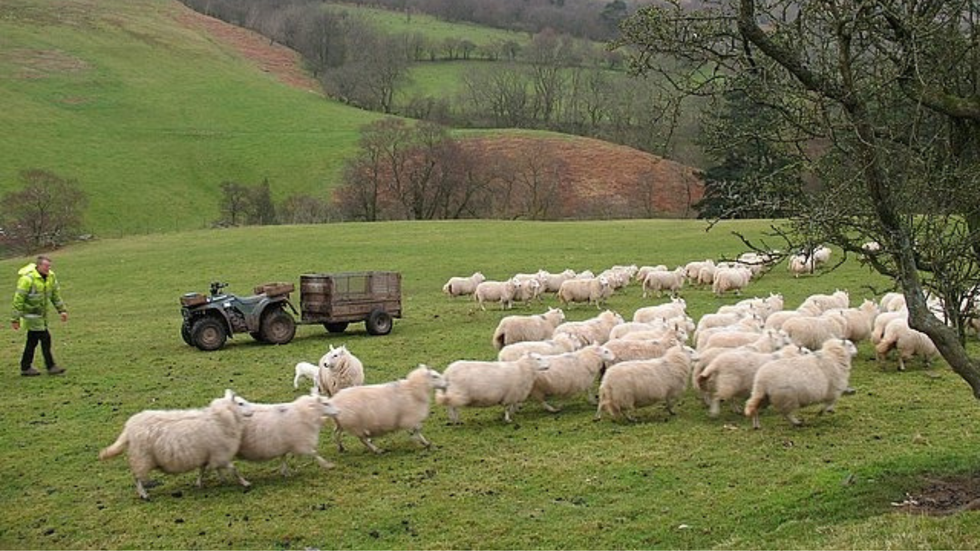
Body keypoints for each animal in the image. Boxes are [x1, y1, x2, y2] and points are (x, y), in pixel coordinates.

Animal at [97, 390, 253, 502]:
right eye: (240, 403)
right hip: (141, 457)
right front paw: (245, 483)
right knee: (137, 478)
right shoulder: (220, 453)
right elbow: (233, 469)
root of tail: (128, 428)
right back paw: (144, 495)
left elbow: (204, 470)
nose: (252, 411)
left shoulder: (211, 453)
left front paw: (205, 482)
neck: (221, 418)